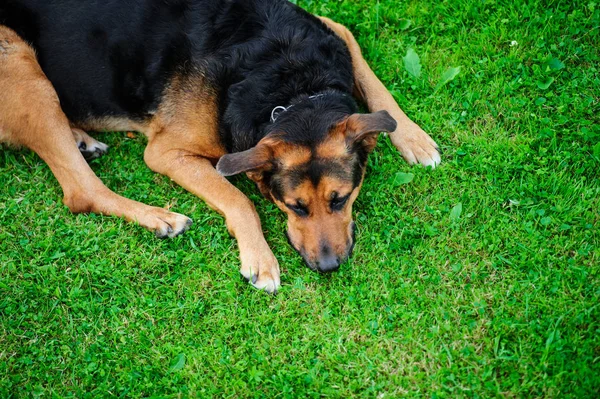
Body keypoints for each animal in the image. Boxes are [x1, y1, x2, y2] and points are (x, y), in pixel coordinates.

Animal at [0, 0, 440, 294]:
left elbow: (376, 89)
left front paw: (414, 138)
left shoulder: (335, 31)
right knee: (80, 190)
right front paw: (260, 258)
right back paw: (160, 218)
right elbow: (238, 199)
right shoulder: (166, 153)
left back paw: (81, 137)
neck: (292, 84)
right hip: (20, 62)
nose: (329, 267)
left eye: (342, 199)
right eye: (294, 207)